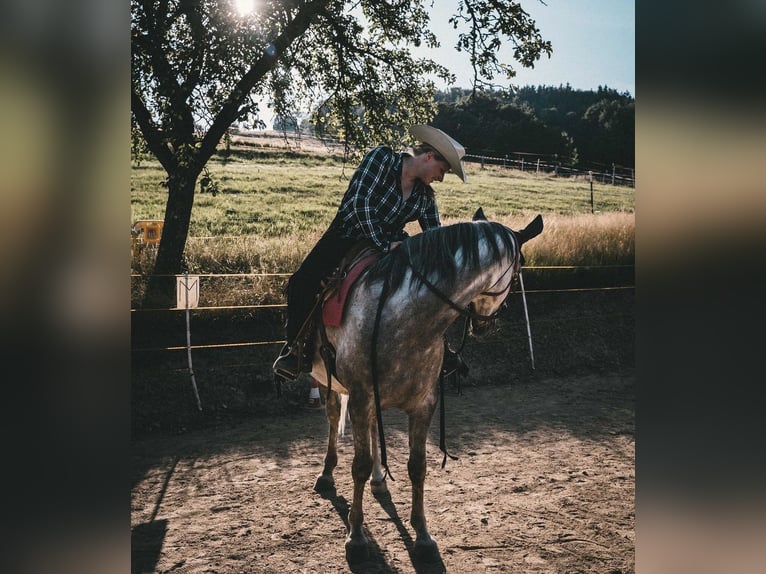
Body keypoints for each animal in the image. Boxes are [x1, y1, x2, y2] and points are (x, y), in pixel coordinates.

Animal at [308, 209, 544, 564]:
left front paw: (422, 535)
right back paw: (326, 474)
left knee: (373, 431)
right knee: (334, 418)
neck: (407, 318)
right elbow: (358, 466)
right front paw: (356, 535)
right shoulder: (361, 396)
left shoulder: (423, 404)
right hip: (328, 382)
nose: (486, 324)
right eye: (518, 274)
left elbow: (417, 467)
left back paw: (380, 479)